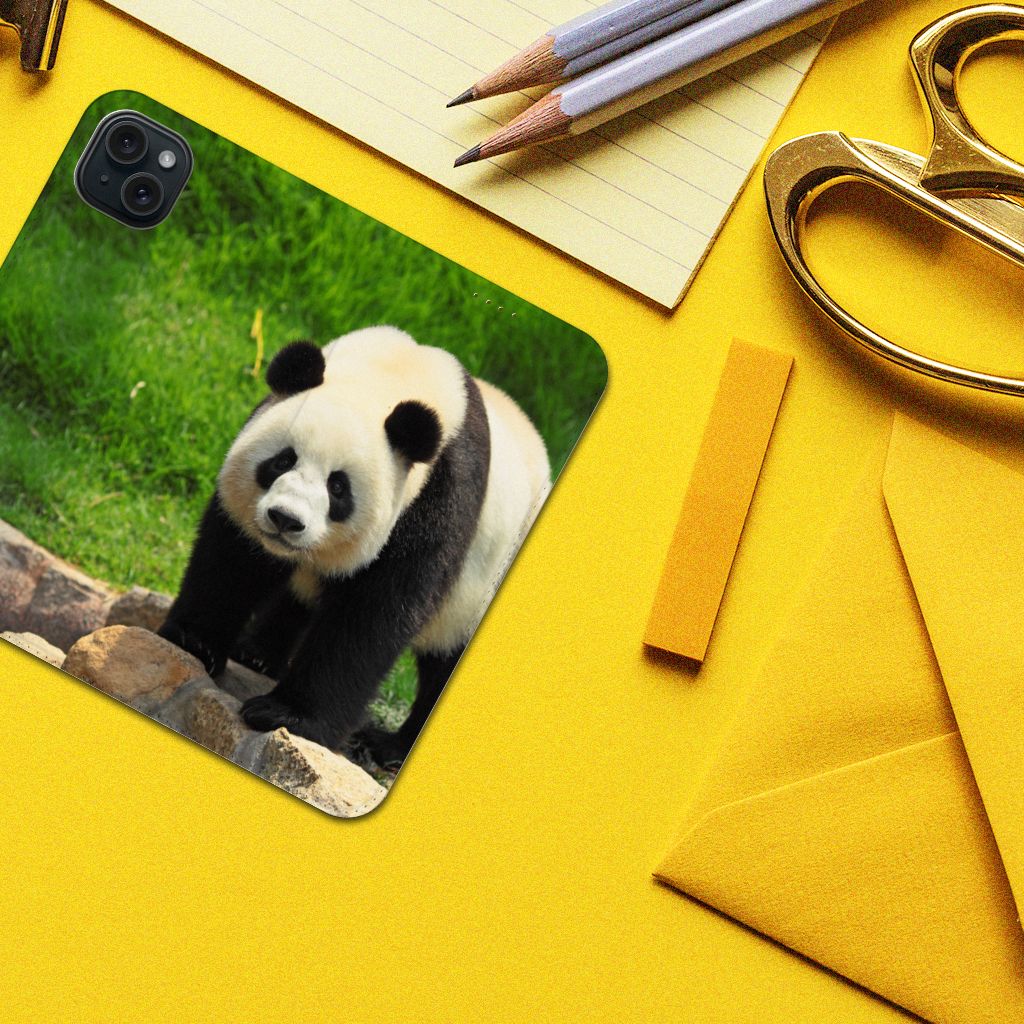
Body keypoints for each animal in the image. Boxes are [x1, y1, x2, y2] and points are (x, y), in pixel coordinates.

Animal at [159, 326, 550, 767]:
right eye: (282, 460)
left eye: (338, 487)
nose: (285, 520)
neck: (392, 376)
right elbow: (235, 559)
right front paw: (195, 641)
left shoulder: (438, 497)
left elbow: (374, 613)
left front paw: (286, 715)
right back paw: (258, 652)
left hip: (478, 591)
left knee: (442, 665)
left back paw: (390, 746)